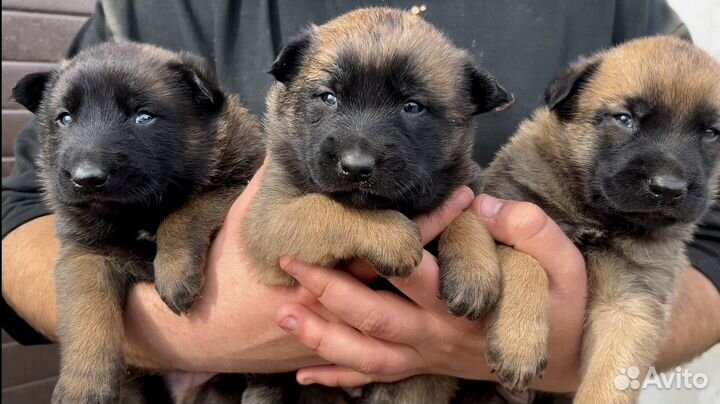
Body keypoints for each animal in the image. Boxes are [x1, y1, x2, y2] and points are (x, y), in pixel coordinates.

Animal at [11, 41, 264, 404]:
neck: (137, 216)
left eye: (143, 116)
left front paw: (174, 271)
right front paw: (82, 385)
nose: (86, 178)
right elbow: (87, 311)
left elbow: (186, 210)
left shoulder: (239, 185)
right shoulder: (85, 255)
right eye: (65, 118)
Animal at [239, 7, 510, 404]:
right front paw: (393, 235)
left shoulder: (462, 180)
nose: (356, 167)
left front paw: (474, 267)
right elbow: (325, 208)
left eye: (412, 107)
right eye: (328, 97)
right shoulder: (270, 218)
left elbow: (465, 208)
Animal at [478, 35, 720, 404]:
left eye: (711, 133)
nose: (669, 189)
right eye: (624, 118)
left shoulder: (632, 301)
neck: (596, 216)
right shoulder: (515, 206)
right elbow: (526, 261)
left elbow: (613, 378)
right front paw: (519, 343)